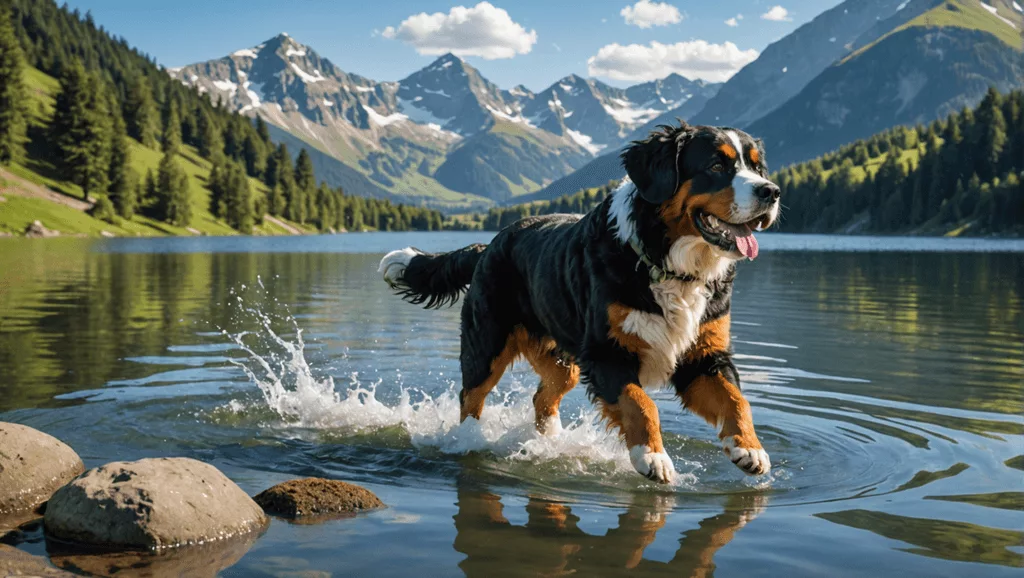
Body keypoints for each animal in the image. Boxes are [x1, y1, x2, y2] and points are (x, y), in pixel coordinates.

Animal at [380, 121, 778, 483]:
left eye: (757, 167)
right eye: (716, 165)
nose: (771, 192)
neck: (669, 264)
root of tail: (489, 244)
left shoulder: (703, 357)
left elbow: (735, 399)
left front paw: (749, 447)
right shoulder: (608, 353)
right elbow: (641, 404)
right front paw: (652, 456)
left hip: (563, 361)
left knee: (543, 397)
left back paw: (550, 442)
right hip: (487, 346)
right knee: (471, 397)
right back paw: (471, 441)